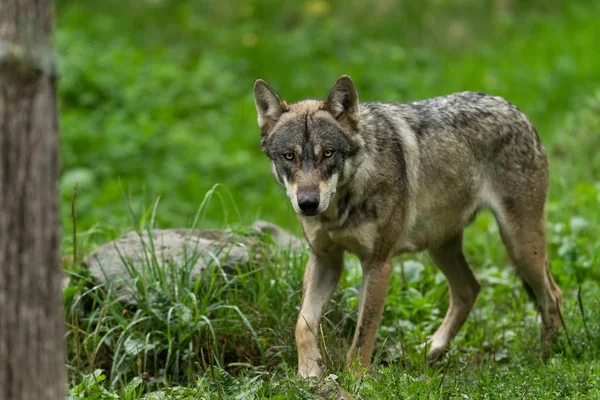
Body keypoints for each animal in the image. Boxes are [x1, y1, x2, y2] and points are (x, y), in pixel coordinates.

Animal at [252, 75, 564, 378]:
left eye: (327, 153)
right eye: (289, 156)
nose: (307, 204)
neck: (341, 205)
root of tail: (515, 108)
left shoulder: (378, 264)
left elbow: (363, 334)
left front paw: (355, 380)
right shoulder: (325, 260)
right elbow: (303, 323)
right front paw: (309, 371)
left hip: (519, 247)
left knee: (552, 294)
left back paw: (550, 357)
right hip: (440, 247)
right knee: (470, 289)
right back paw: (434, 348)